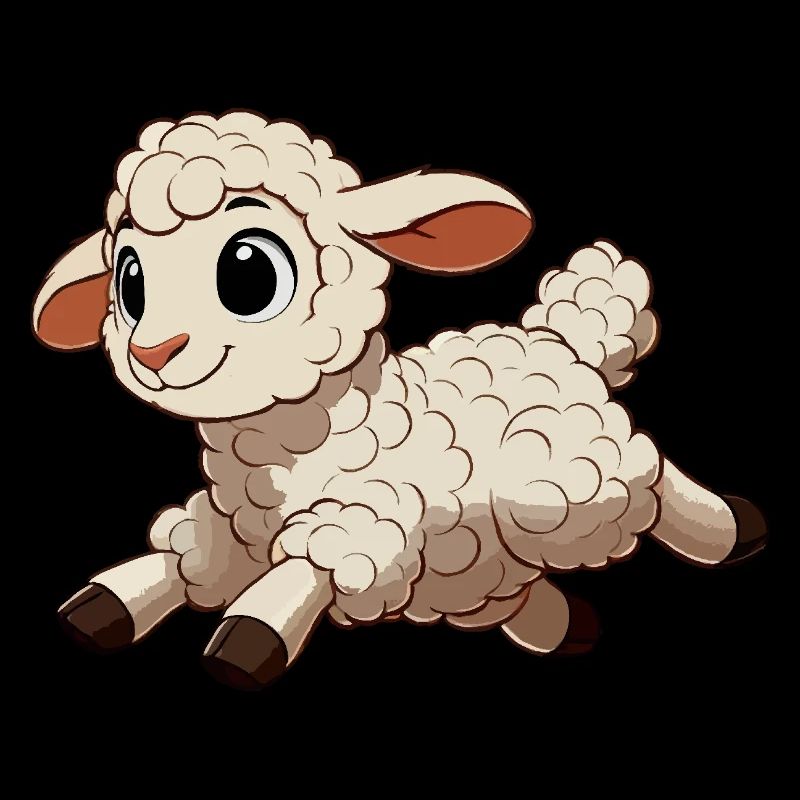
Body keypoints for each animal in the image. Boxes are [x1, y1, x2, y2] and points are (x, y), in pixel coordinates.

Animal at [34, 110, 767, 690]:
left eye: (248, 270)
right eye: (129, 281)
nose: (154, 352)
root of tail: (559, 336)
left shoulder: (365, 517)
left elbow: (305, 570)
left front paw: (247, 639)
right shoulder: (233, 529)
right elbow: (186, 561)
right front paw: (102, 605)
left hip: (564, 483)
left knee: (651, 478)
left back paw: (730, 528)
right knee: (512, 593)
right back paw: (566, 625)